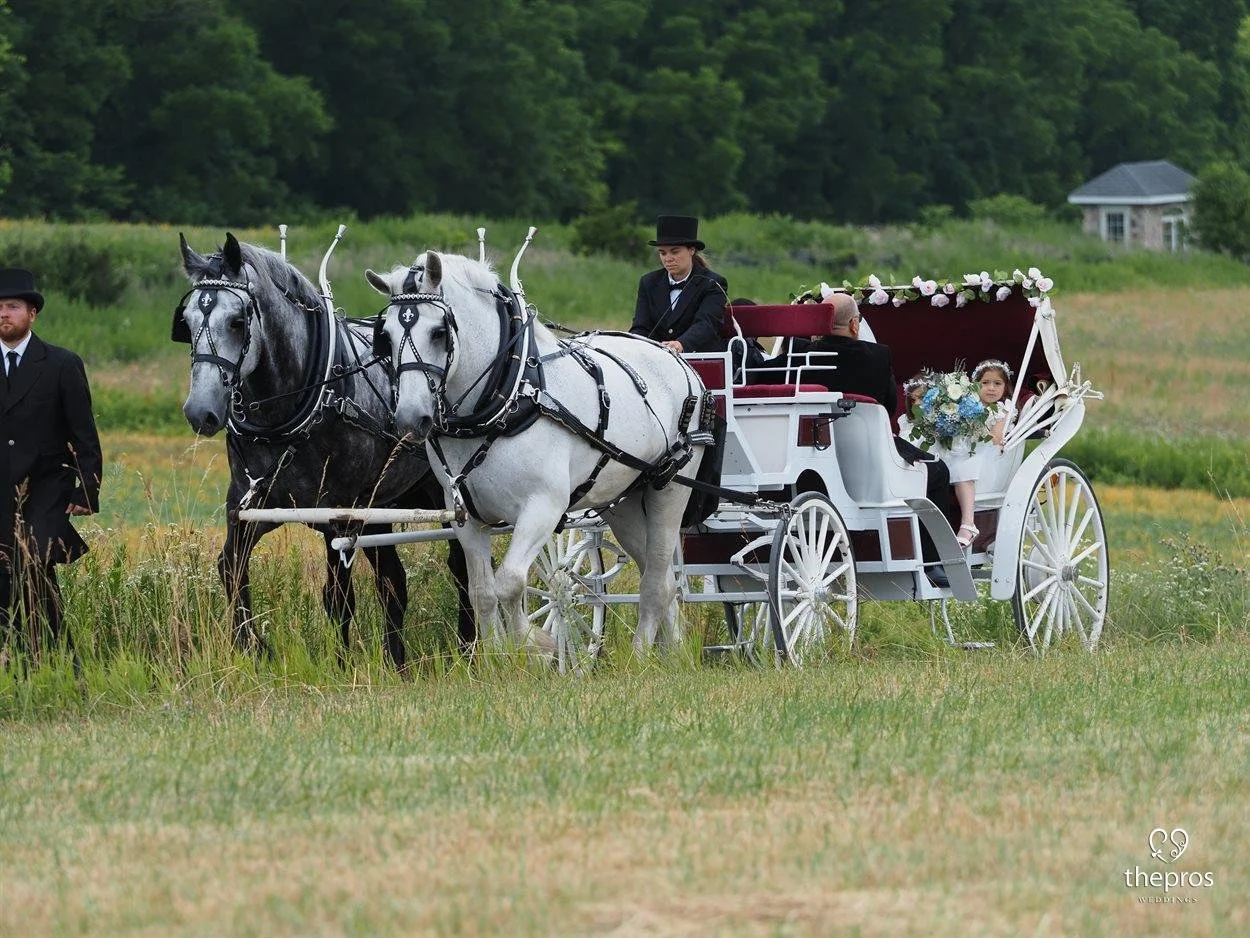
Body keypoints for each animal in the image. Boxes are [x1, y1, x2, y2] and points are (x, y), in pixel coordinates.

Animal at [175, 233, 472, 668]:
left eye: (237, 321)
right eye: (188, 320)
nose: (200, 411)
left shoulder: (340, 515)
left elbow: (338, 598)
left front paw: (340, 663)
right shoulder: (248, 504)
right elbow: (230, 568)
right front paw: (253, 646)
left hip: (440, 496)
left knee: (461, 565)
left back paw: (468, 645)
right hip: (380, 506)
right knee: (394, 582)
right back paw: (396, 660)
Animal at [365, 250, 711, 654]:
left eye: (438, 331)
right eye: (385, 336)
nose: (410, 418)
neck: (508, 398)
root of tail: (677, 360)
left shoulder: (542, 508)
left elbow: (511, 583)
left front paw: (535, 643)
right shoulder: (466, 519)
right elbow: (482, 592)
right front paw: (498, 657)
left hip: (670, 489)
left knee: (656, 581)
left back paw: (641, 655)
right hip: (622, 501)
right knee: (663, 579)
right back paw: (673, 656)